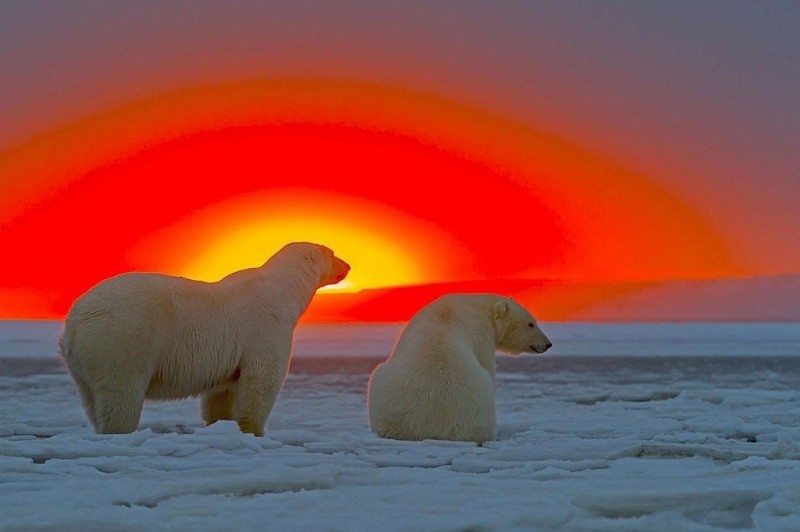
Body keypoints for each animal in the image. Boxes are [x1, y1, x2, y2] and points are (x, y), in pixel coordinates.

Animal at [61, 243, 348, 434]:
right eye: (333, 254)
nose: (348, 265)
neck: (283, 289)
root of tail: (74, 321)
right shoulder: (266, 328)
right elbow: (262, 380)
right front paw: (253, 430)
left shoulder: (230, 355)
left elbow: (222, 393)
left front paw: (220, 424)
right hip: (123, 339)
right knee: (121, 393)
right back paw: (121, 430)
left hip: (83, 364)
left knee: (92, 399)